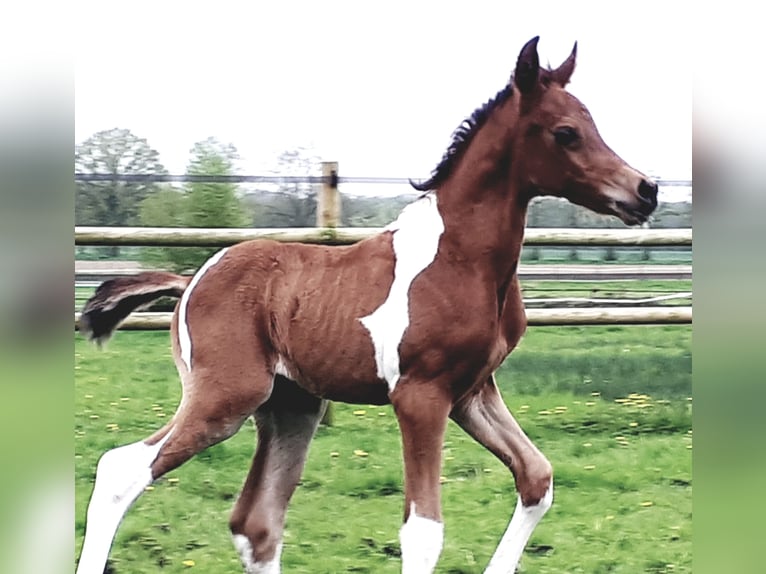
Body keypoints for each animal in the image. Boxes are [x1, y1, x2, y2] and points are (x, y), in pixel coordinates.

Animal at [78, 37, 660, 574]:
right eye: (565, 132)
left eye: (592, 124)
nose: (645, 190)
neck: (459, 257)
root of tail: (191, 279)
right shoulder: (420, 397)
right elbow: (423, 532)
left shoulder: (472, 391)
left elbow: (536, 478)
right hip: (225, 397)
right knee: (120, 470)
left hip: (291, 407)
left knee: (256, 523)